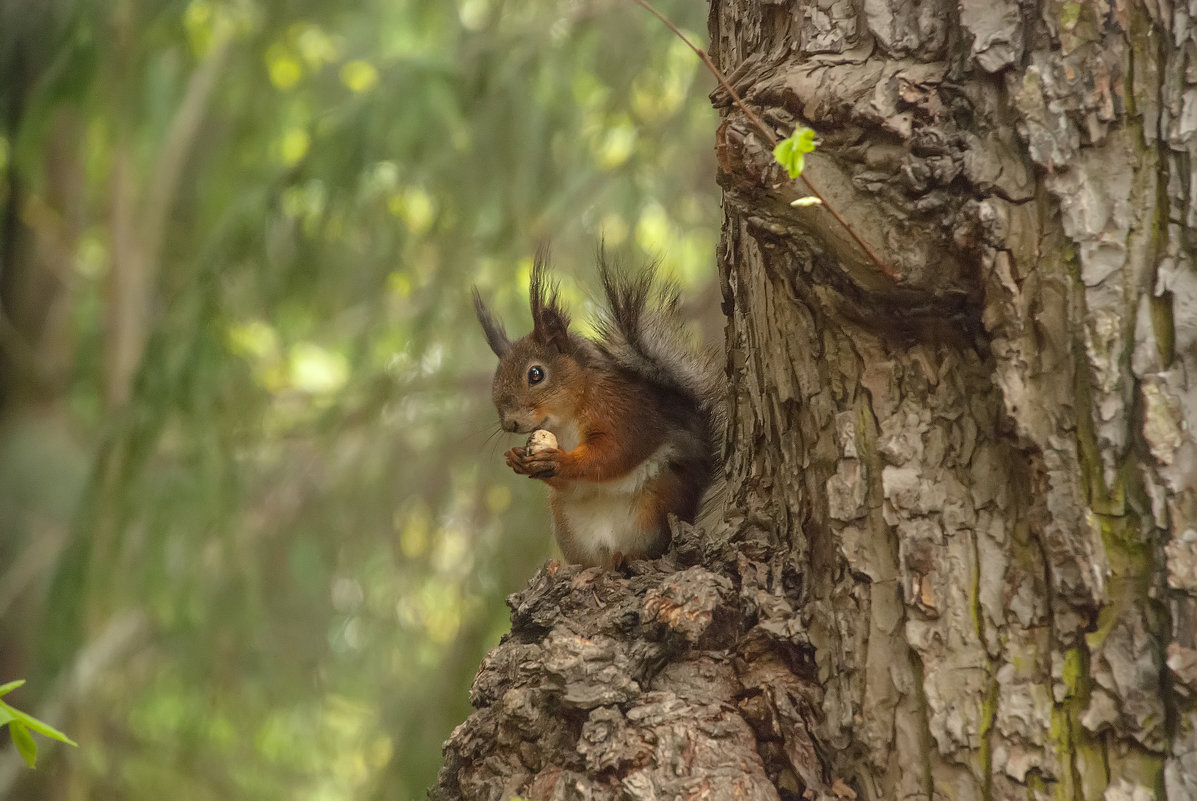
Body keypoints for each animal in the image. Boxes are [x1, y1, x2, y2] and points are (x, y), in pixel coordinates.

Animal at [474, 250, 718, 567]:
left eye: (536, 374)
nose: (509, 423)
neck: (567, 417)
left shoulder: (623, 410)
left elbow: (615, 451)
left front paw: (562, 460)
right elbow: (575, 482)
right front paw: (517, 457)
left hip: (659, 502)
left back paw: (630, 556)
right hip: (567, 525)